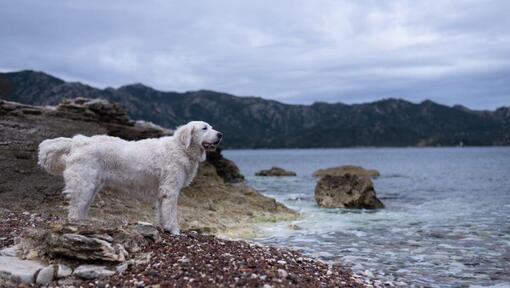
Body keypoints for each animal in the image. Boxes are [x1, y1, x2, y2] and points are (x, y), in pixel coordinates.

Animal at [35, 120, 219, 234]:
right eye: (204, 128)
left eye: (211, 127)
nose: (220, 134)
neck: (181, 148)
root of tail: (77, 141)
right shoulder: (170, 190)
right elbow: (171, 213)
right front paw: (174, 231)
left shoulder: (162, 192)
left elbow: (162, 212)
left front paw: (164, 228)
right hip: (84, 185)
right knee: (74, 211)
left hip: (91, 188)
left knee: (80, 209)